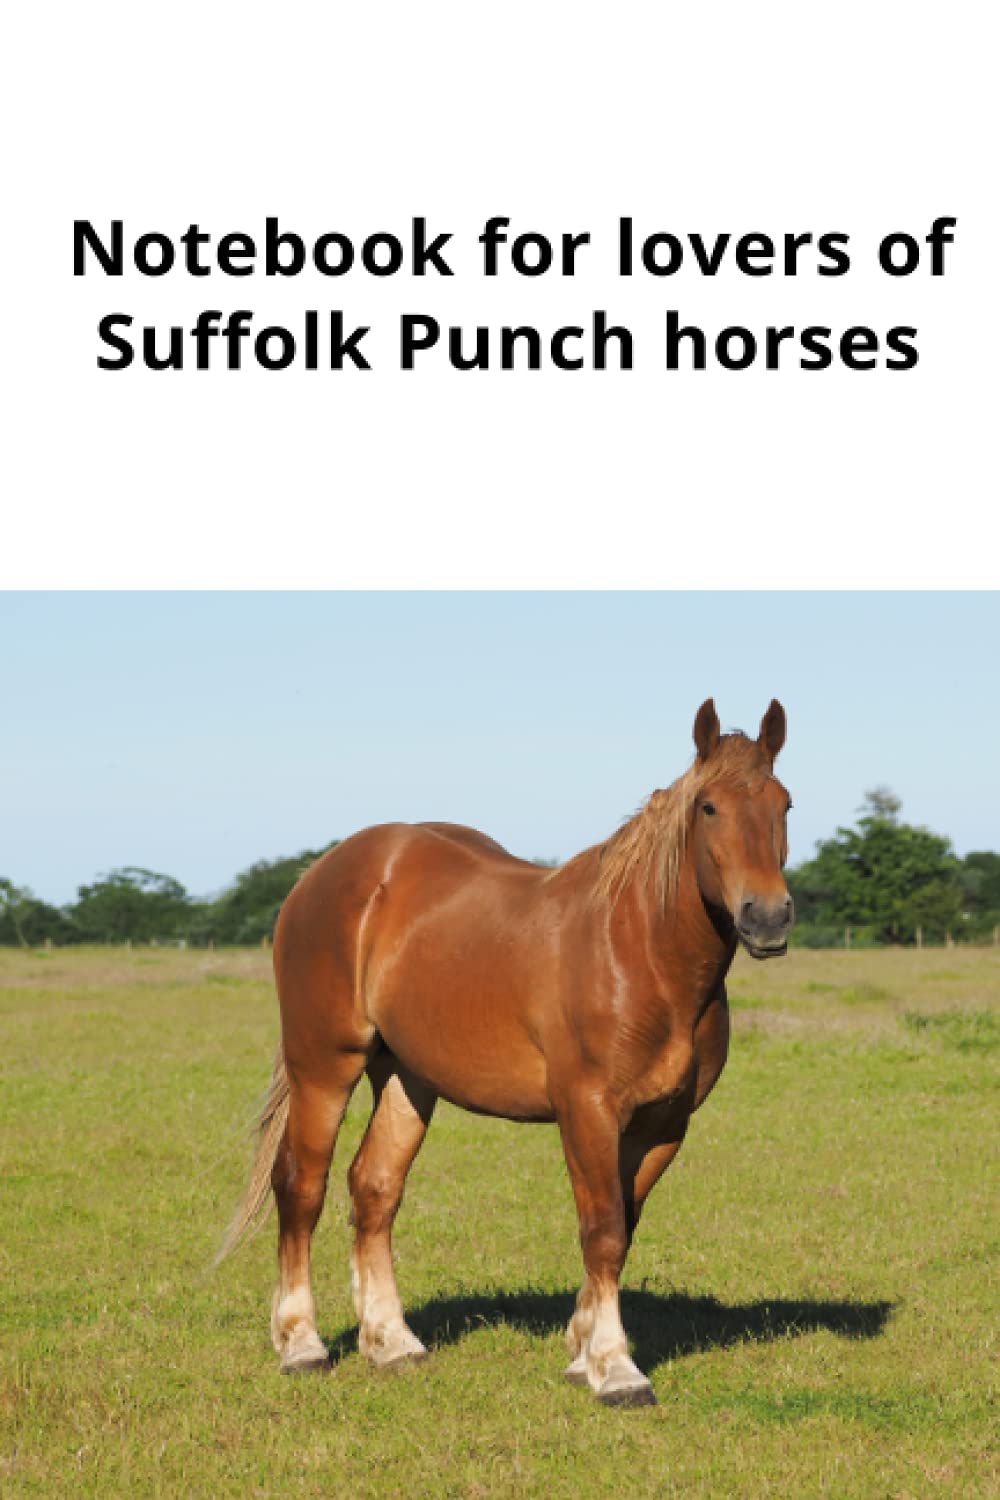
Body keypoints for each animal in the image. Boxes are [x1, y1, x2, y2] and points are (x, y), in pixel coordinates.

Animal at [219, 698, 793, 1407]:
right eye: (709, 807)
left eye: (785, 803)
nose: (768, 918)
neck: (640, 950)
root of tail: (321, 874)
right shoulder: (587, 1110)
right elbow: (603, 1228)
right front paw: (615, 1368)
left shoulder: (664, 1124)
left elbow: (623, 1226)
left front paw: (582, 1351)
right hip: (324, 1064)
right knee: (302, 1185)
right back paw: (301, 1344)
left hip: (408, 1079)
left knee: (374, 1188)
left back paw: (390, 1342)